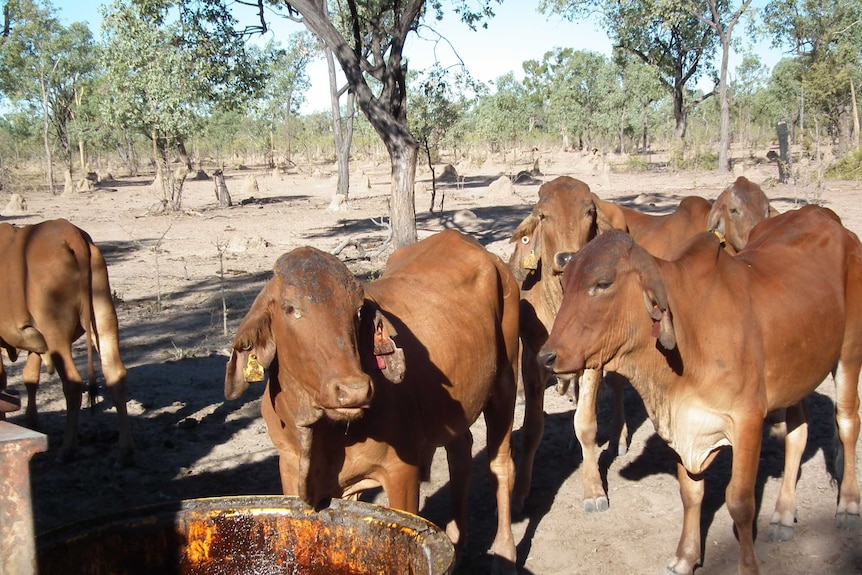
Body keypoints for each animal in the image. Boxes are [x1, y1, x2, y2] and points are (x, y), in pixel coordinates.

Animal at [0, 218, 132, 466]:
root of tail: (70, 233)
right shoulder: (35, 338)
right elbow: (30, 377)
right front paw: (31, 418)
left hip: (55, 332)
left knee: (73, 384)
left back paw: (67, 449)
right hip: (103, 318)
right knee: (115, 375)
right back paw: (124, 452)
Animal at [224, 232, 520, 572]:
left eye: (356, 311)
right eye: (290, 307)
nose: (353, 390)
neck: (319, 432)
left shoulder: (401, 470)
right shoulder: (288, 469)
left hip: (506, 380)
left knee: (500, 464)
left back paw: (505, 554)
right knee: (461, 452)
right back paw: (456, 544)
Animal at [510, 176, 712, 512]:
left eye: (589, 212)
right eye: (543, 215)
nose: (566, 258)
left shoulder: (595, 357)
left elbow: (586, 423)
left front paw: (593, 488)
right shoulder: (532, 360)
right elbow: (533, 428)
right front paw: (520, 492)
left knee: (615, 387)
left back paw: (618, 437)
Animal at [544, 205, 860, 572]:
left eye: (603, 283)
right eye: (565, 283)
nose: (546, 356)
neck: (691, 329)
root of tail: (824, 214)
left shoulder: (747, 420)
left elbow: (739, 502)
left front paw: (747, 567)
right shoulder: (686, 422)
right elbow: (691, 493)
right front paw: (686, 556)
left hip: (849, 354)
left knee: (848, 423)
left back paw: (848, 507)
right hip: (798, 371)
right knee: (798, 434)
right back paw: (783, 514)